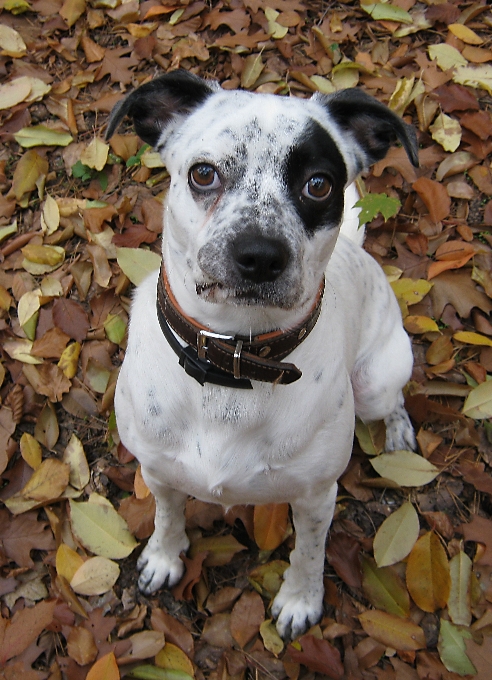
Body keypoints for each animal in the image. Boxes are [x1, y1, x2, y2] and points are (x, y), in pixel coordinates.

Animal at [105, 71, 418, 640]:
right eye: (203, 173)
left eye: (319, 184)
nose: (260, 254)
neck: (232, 361)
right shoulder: (157, 471)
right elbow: (167, 516)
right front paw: (164, 556)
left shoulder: (316, 496)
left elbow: (309, 553)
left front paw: (300, 599)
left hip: (376, 383)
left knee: (394, 400)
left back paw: (400, 432)